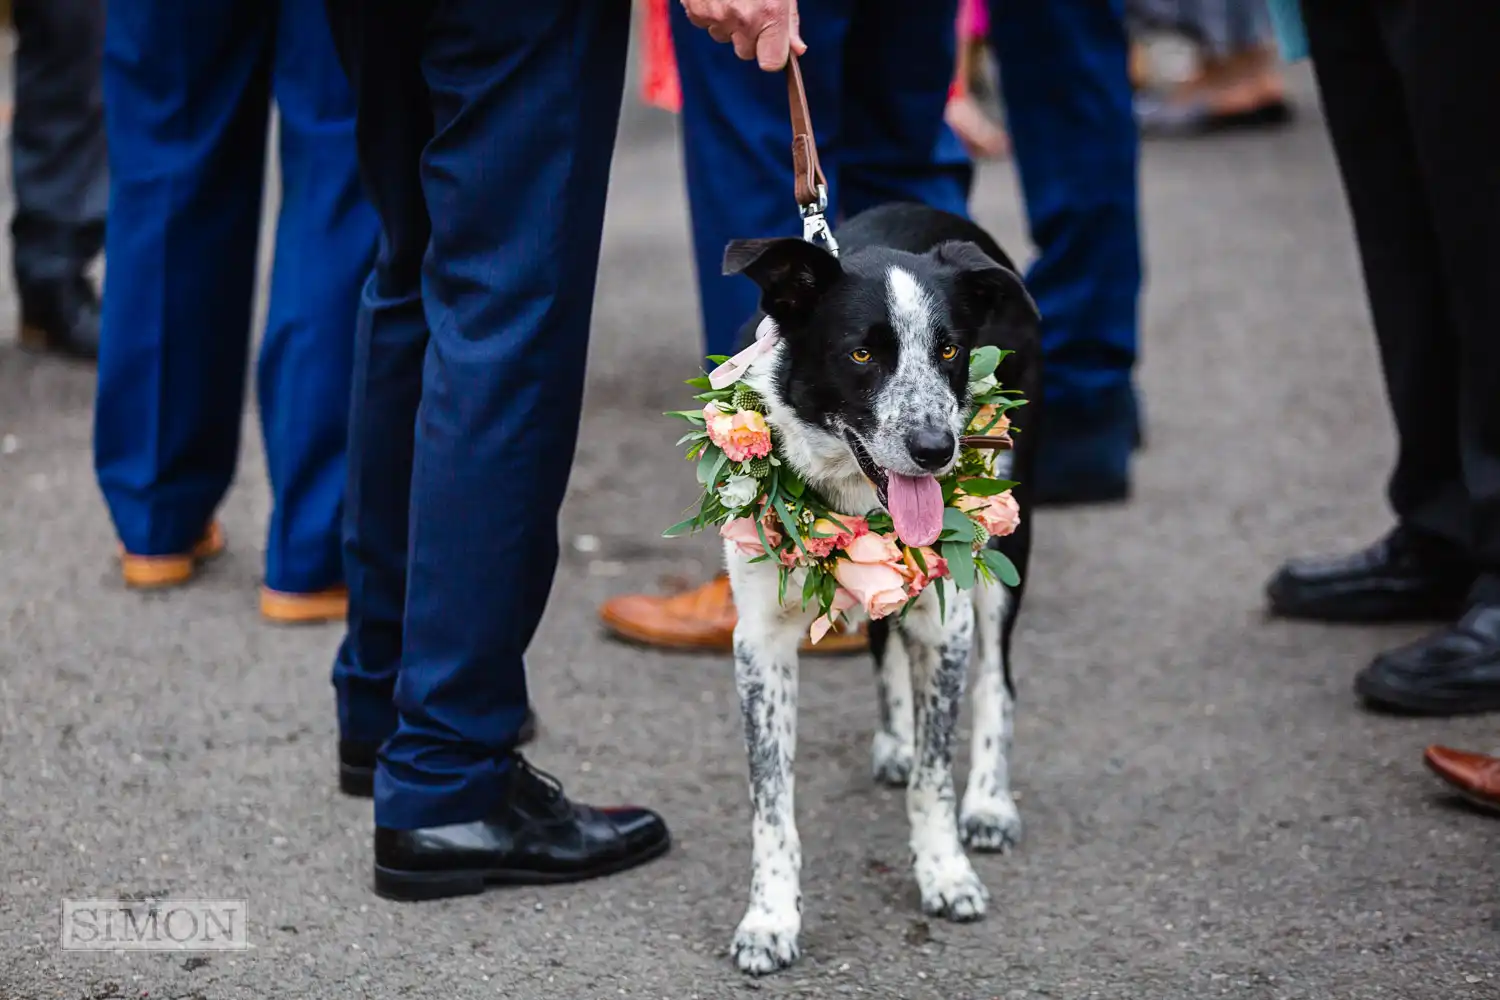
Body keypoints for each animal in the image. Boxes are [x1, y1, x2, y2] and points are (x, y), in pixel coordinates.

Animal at [720, 203, 1038, 977]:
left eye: (949, 351)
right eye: (861, 355)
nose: (936, 450)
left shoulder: (950, 623)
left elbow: (934, 776)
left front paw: (946, 872)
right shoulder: (758, 644)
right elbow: (771, 802)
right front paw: (770, 919)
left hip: (1006, 538)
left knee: (998, 680)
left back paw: (989, 804)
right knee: (883, 634)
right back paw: (895, 736)